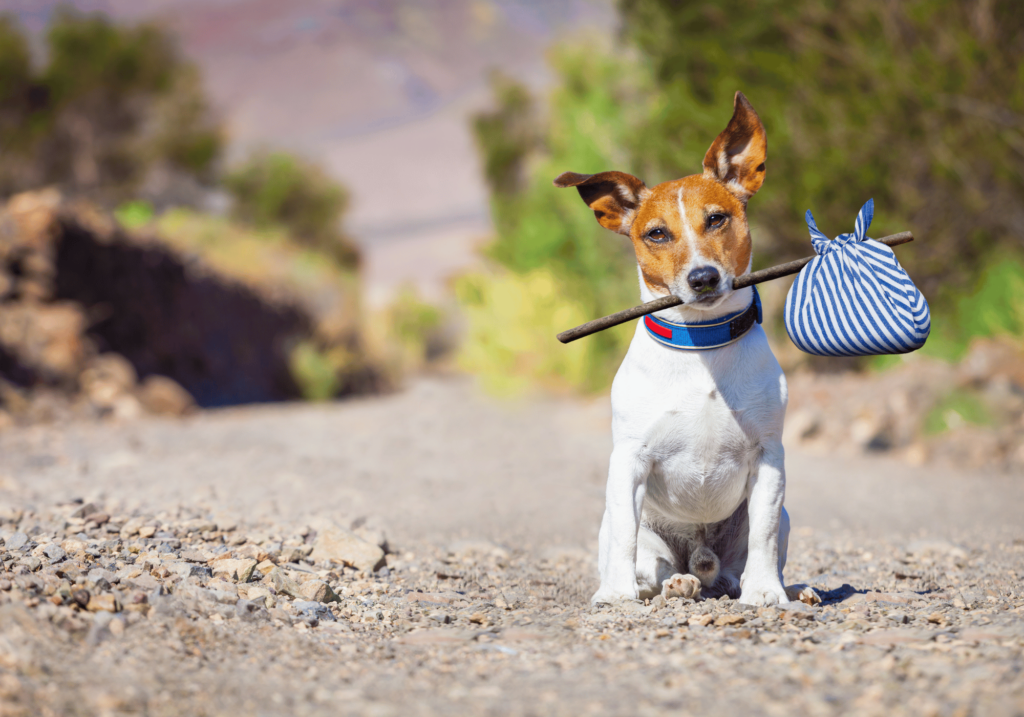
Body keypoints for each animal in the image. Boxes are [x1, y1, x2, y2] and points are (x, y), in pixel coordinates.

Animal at [557, 89, 811, 606]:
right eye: (657, 233)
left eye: (716, 219)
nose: (703, 277)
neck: (703, 343)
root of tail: (701, 559)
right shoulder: (628, 461)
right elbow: (626, 537)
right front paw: (616, 595)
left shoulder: (769, 458)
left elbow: (763, 534)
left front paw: (766, 593)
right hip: (632, 531)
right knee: (649, 565)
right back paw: (673, 583)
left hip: (777, 519)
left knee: (741, 564)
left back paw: (781, 587)